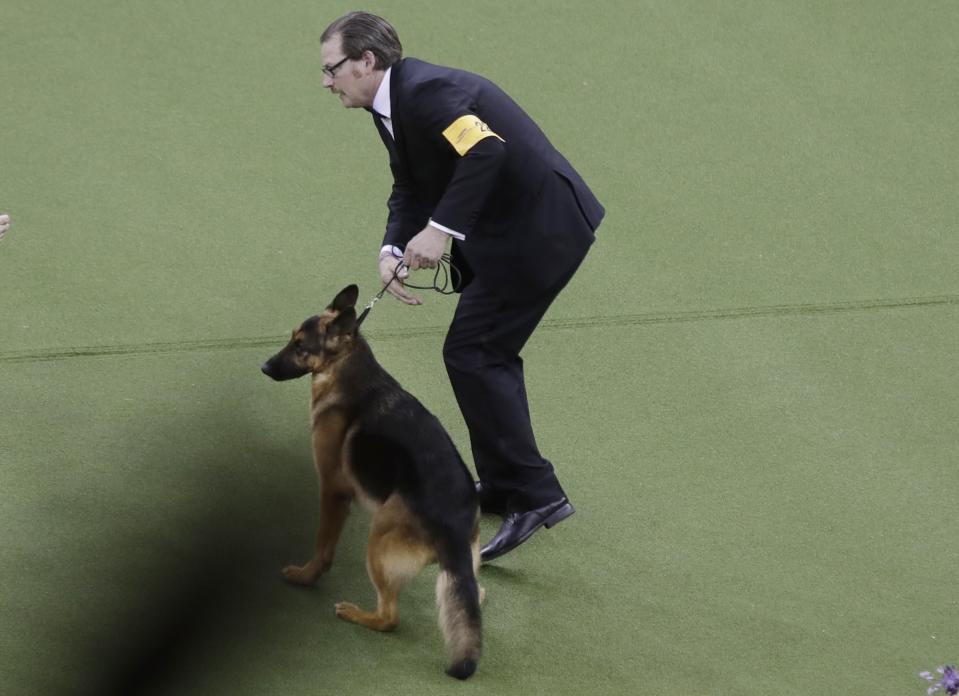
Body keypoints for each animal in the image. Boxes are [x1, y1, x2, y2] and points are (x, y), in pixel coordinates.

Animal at [258, 284, 484, 680]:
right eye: (291, 339)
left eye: (300, 346)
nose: (265, 366)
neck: (344, 368)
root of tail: (455, 526)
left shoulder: (332, 492)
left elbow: (323, 547)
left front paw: (306, 576)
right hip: (462, 567)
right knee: (478, 594)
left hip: (378, 538)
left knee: (390, 618)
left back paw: (356, 614)